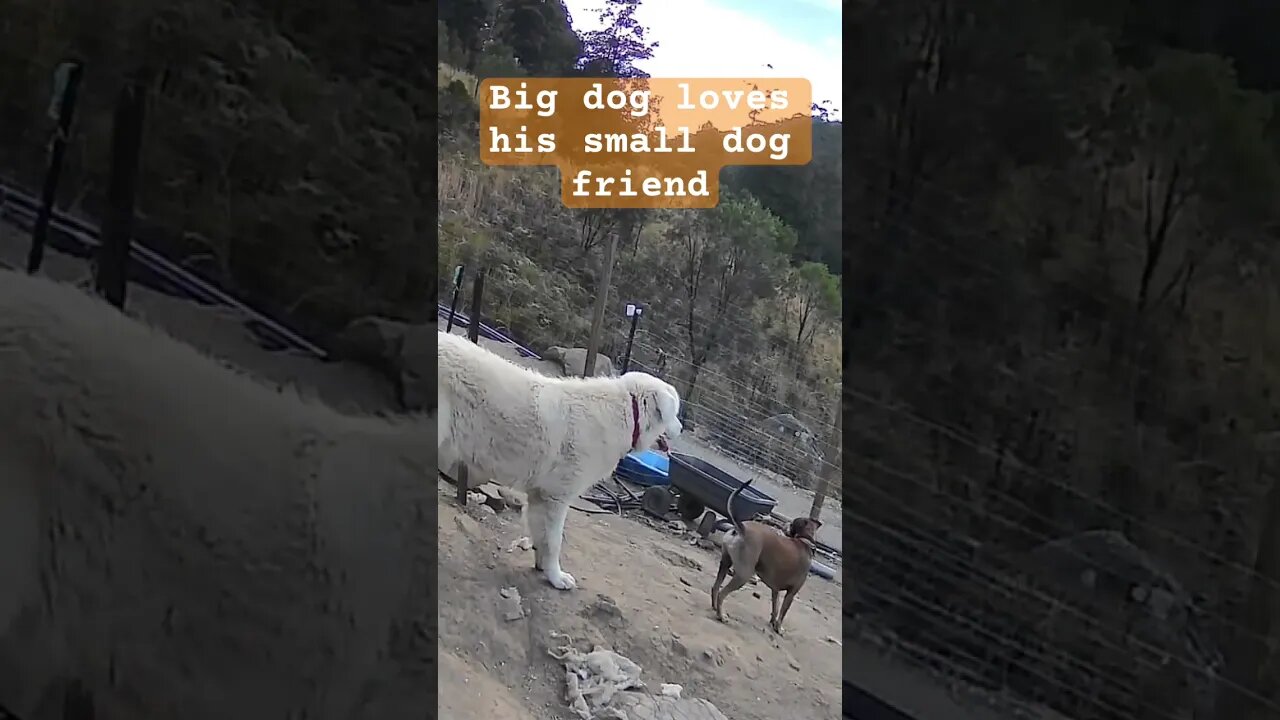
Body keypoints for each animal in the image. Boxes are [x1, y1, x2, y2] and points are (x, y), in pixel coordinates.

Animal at [437, 330, 686, 589]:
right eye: (676, 413)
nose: (682, 428)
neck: (627, 413)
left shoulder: (540, 495)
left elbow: (541, 537)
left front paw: (543, 568)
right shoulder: (556, 497)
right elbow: (555, 541)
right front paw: (557, 577)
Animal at [711, 479, 819, 630]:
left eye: (792, 524)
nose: (785, 524)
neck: (804, 541)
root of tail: (741, 528)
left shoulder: (775, 590)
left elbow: (775, 607)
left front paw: (773, 622)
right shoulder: (791, 593)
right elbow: (782, 612)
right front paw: (778, 628)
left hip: (725, 564)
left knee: (715, 587)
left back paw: (715, 608)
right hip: (744, 574)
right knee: (722, 593)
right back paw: (721, 616)